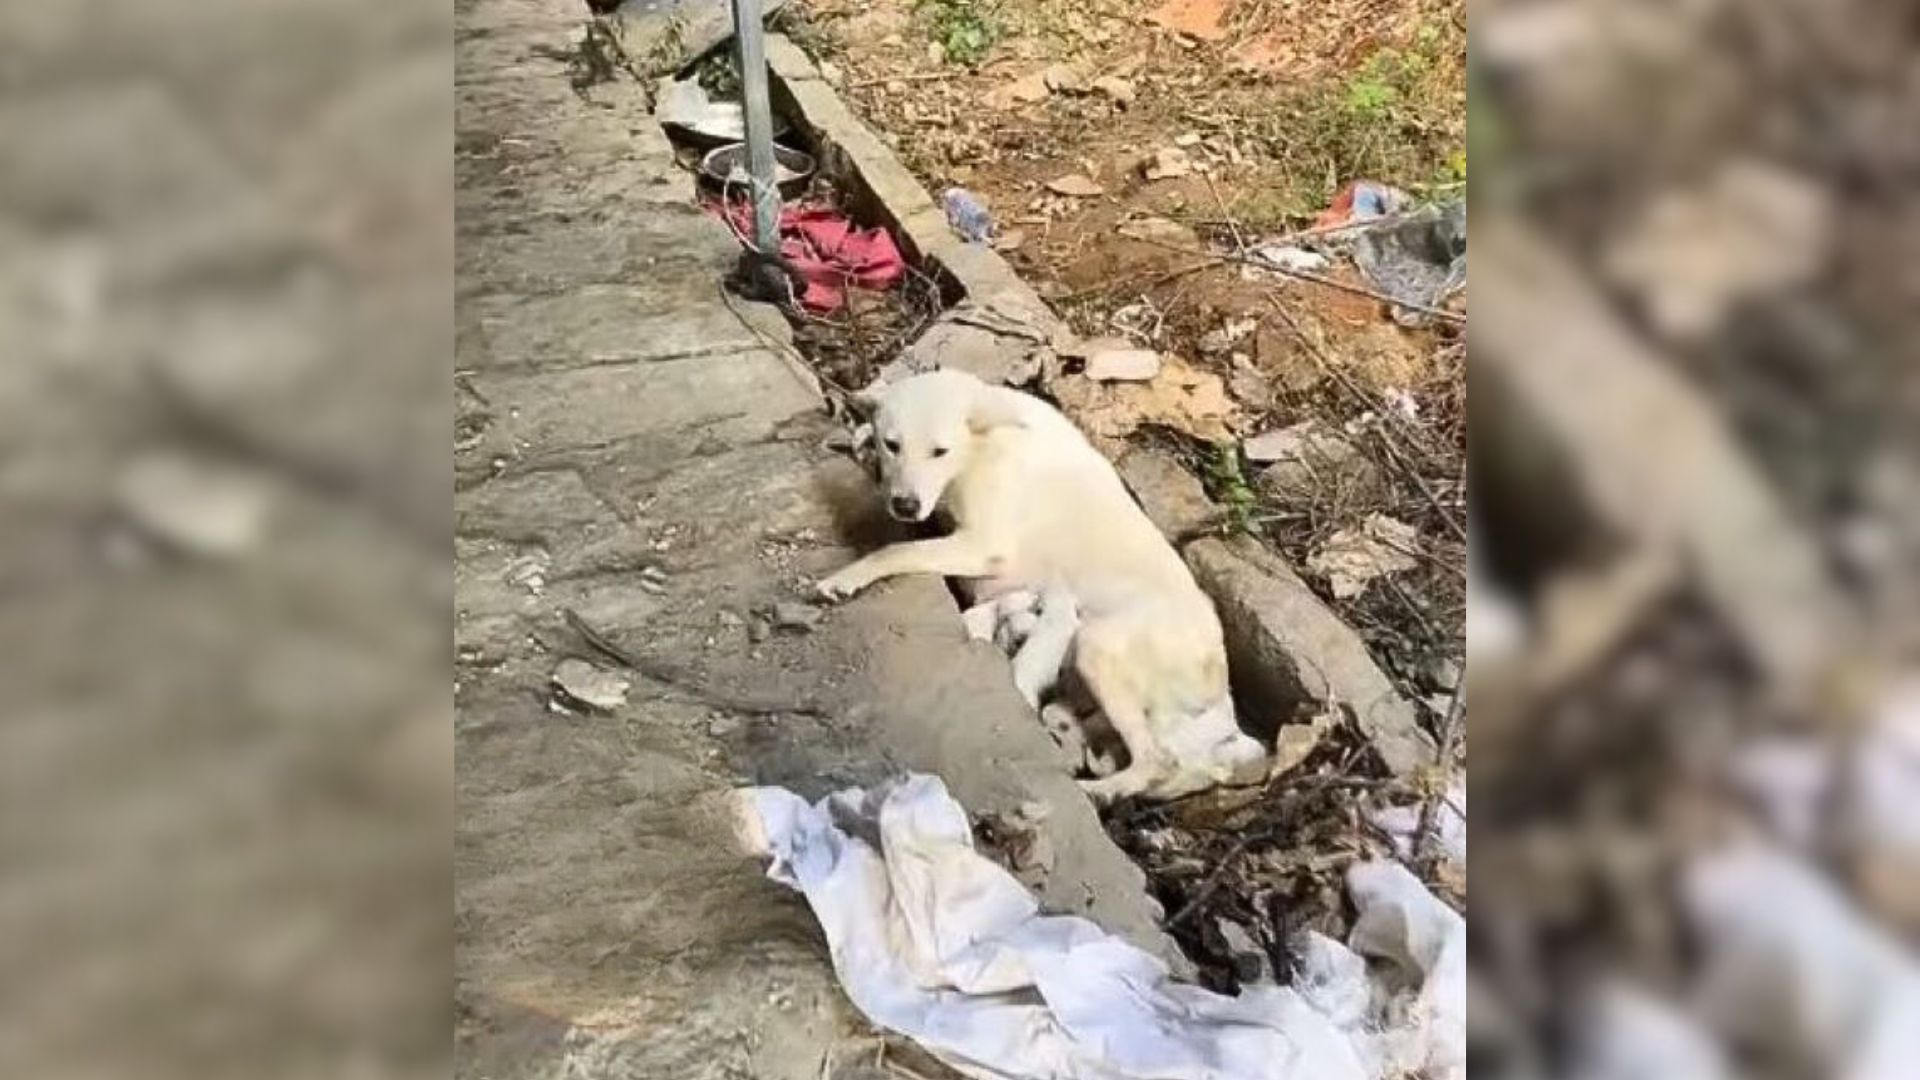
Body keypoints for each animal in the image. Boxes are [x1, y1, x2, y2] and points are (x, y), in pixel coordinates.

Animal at [817, 368, 1267, 799]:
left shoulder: (984, 545)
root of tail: (1221, 687)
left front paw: (844, 578)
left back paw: (1100, 792)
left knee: (1156, 761)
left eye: (939, 451)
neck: (980, 446)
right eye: (892, 445)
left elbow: (894, 551)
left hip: (1098, 647)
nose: (906, 505)